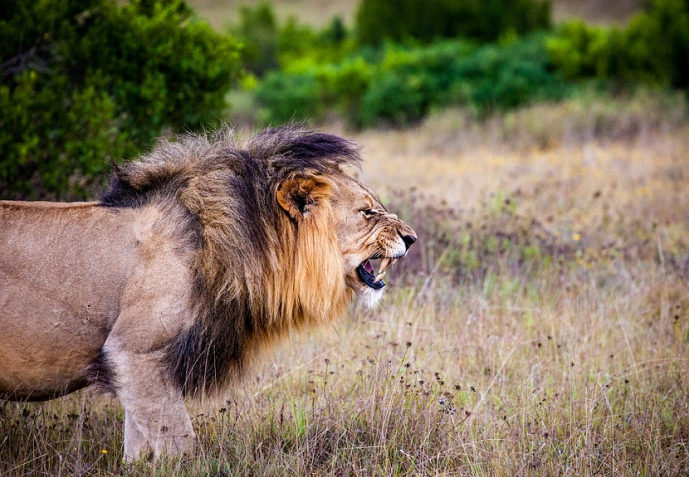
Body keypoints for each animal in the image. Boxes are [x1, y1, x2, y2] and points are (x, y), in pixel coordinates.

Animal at [0, 124, 416, 460]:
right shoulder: (133, 352)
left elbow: (140, 449)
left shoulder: (139, 369)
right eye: (367, 212)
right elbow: (178, 442)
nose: (411, 238)